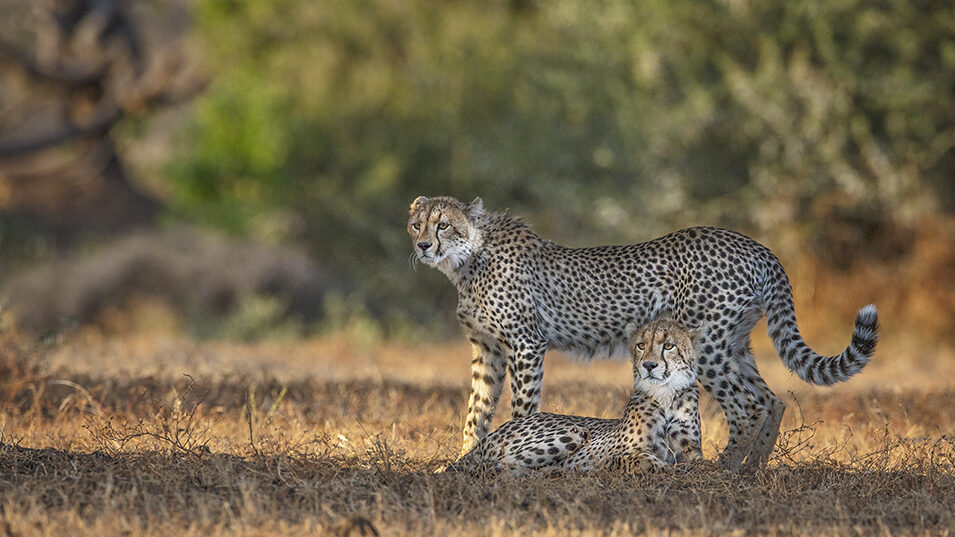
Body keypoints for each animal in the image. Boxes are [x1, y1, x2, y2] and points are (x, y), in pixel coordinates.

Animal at [446, 318, 704, 474]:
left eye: (668, 346)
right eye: (641, 345)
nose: (649, 365)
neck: (666, 397)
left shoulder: (692, 451)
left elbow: (696, 460)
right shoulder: (595, 456)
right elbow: (633, 458)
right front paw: (662, 466)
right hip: (573, 431)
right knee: (495, 466)